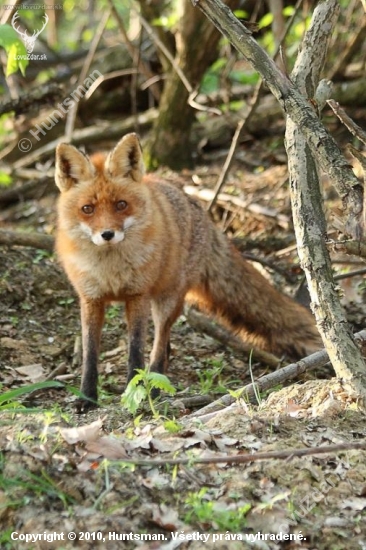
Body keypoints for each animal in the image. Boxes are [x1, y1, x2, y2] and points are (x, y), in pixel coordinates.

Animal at [54, 133, 320, 410]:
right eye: (87, 209)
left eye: (121, 205)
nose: (107, 234)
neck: (110, 270)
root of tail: (201, 210)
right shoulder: (90, 299)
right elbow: (90, 354)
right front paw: (86, 397)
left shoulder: (138, 296)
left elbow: (135, 351)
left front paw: (134, 390)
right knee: (164, 344)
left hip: (167, 300)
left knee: (160, 341)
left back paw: (155, 382)